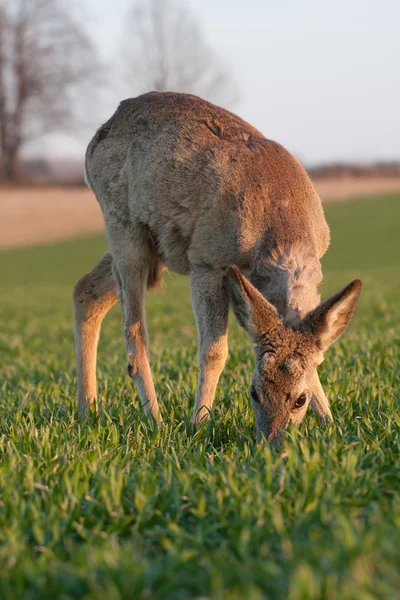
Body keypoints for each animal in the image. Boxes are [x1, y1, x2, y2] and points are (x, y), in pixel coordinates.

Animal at [72, 91, 362, 448]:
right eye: (253, 393)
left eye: (300, 399)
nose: (272, 444)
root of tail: (99, 134)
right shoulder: (207, 262)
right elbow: (213, 350)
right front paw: (198, 424)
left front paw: (331, 422)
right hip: (125, 228)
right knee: (134, 329)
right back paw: (154, 419)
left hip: (153, 251)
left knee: (86, 290)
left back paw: (88, 411)